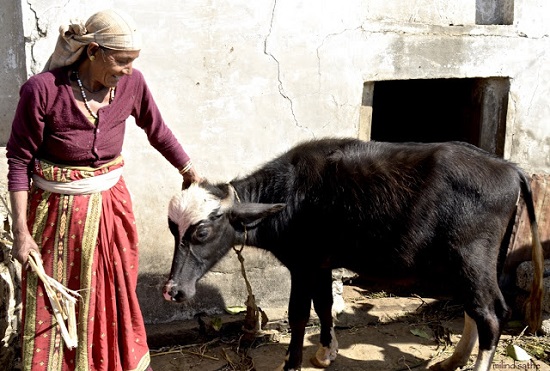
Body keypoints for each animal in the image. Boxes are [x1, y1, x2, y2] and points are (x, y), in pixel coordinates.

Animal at [162, 139, 544, 371]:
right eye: (172, 229)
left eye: (201, 232)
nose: (173, 291)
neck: (290, 197)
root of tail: (510, 169)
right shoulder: (321, 265)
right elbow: (324, 306)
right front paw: (325, 352)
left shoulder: (303, 265)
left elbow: (299, 314)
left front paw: (292, 361)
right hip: (468, 264)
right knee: (474, 310)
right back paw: (452, 360)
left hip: (471, 259)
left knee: (491, 314)